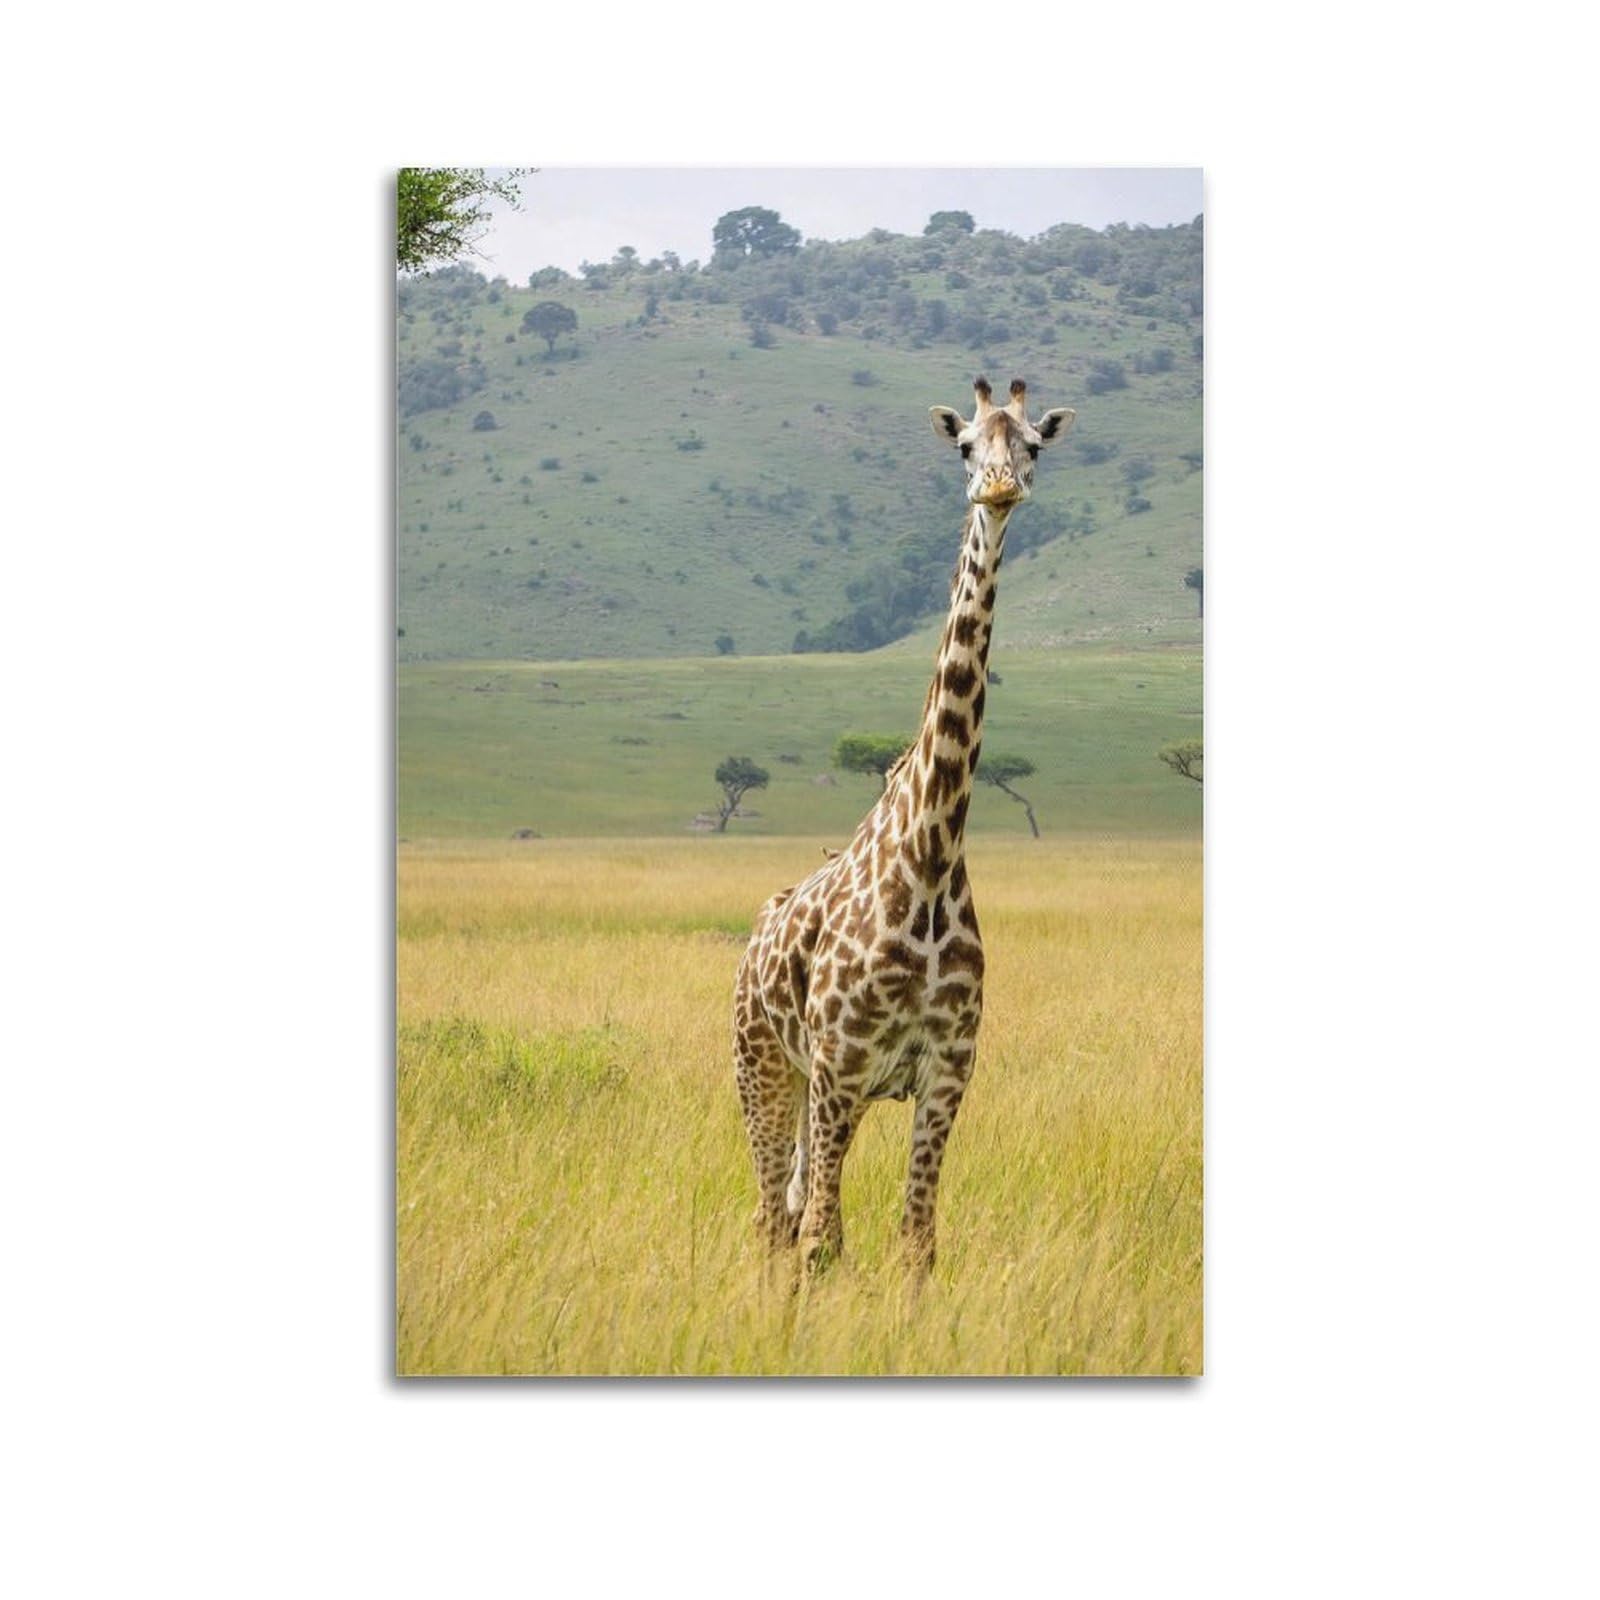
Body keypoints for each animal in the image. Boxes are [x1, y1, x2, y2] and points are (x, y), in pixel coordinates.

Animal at [732, 376, 1076, 1276]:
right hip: (764, 1066)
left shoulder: (948, 1073)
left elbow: (917, 1239)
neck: (928, 854)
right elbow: (826, 1239)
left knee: (788, 1208)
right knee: (775, 1217)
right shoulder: (841, 1067)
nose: (999, 487)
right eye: (965, 445)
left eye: (1033, 443)